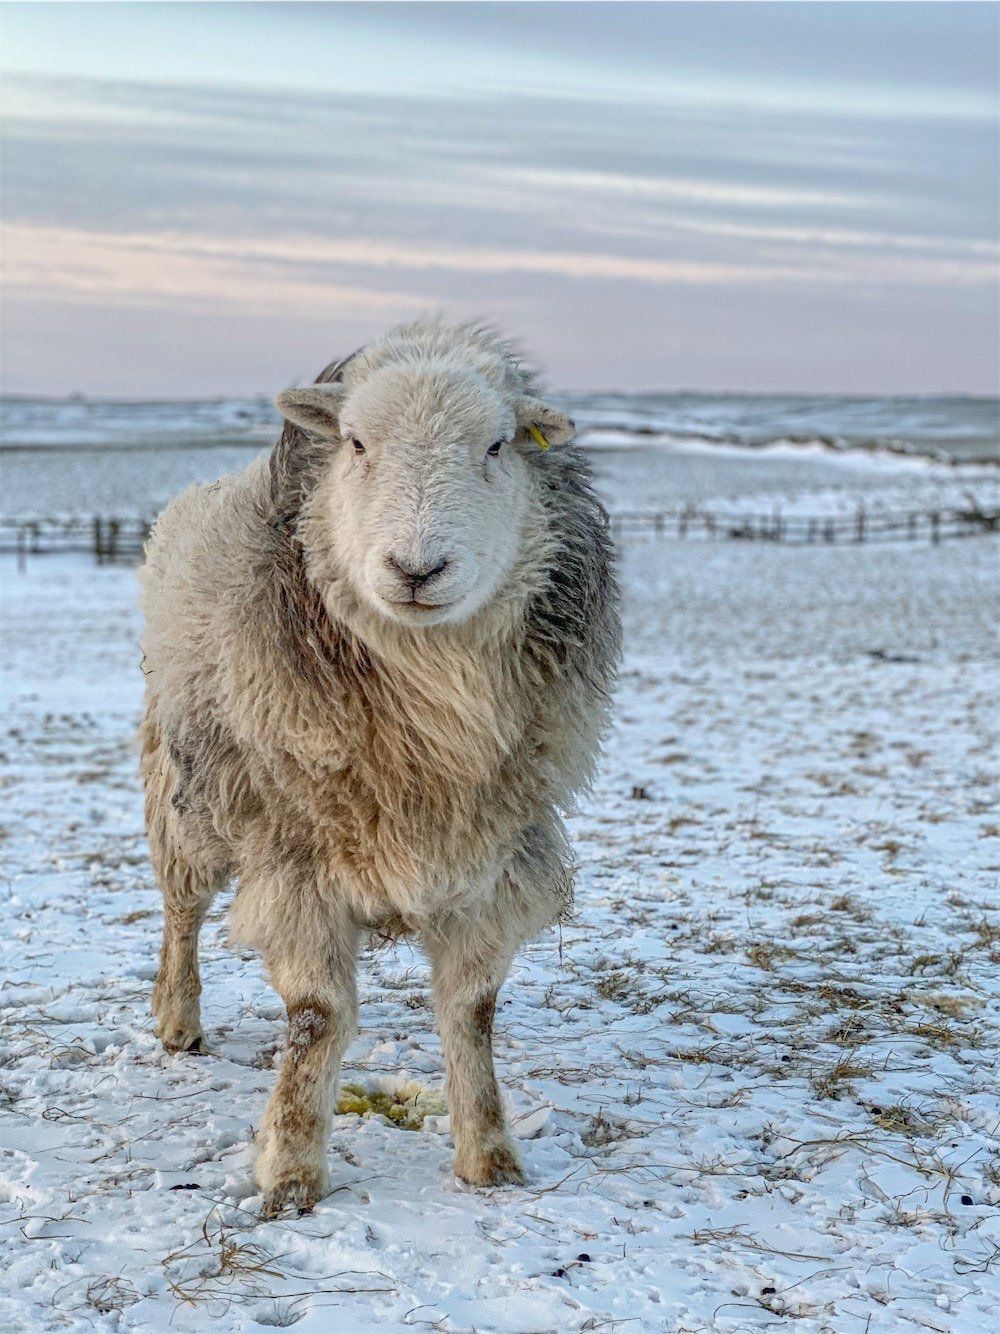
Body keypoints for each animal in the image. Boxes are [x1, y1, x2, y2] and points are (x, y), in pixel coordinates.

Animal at [139, 320, 620, 1217]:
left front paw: (489, 1155)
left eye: (498, 445)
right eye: (357, 443)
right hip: (186, 783)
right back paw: (177, 1020)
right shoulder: (295, 854)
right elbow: (317, 1016)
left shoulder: (492, 851)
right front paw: (291, 1169)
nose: (417, 570)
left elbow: (472, 1012)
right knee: (181, 909)